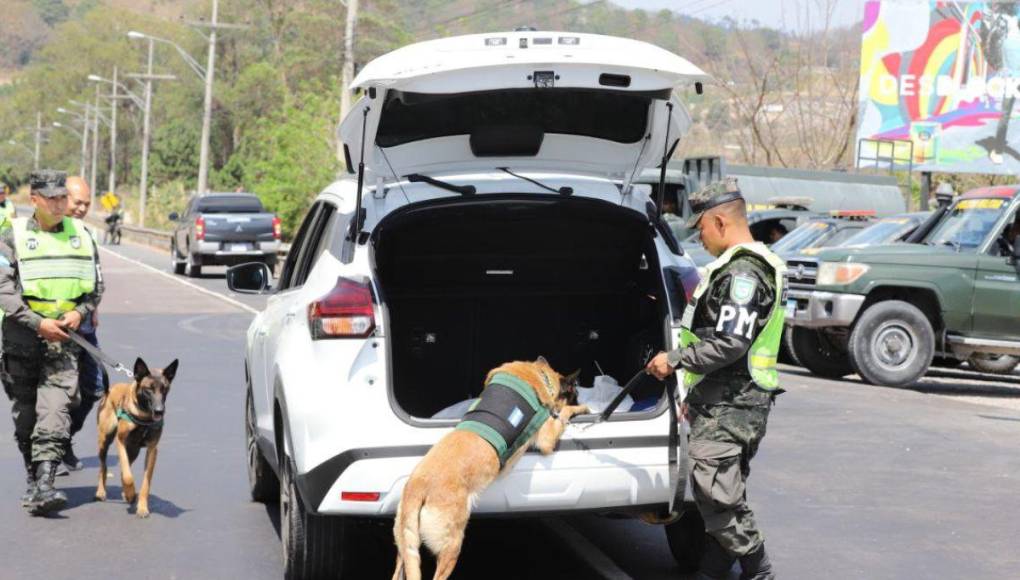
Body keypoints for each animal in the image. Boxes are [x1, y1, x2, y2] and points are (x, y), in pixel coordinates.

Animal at [92, 356, 178, 515]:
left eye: (165, 389)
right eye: (149, 389)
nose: (159, 411)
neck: (144, 417)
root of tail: (109, 390)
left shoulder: (152, 450)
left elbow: (145, 482)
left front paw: (142, 506)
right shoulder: (121, 442)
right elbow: (127, 475)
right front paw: (131, 493)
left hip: (134, 451)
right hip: (104, 442)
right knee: (104, 467)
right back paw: (101, 491)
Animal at [391, 356, 591, 578]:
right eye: (576, 395)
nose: (582, 401)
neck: (538, 374)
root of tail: (417, 487)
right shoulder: (547, 438)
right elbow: (563, 412)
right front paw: (581, 408)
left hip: (405, 546)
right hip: (451, 545)